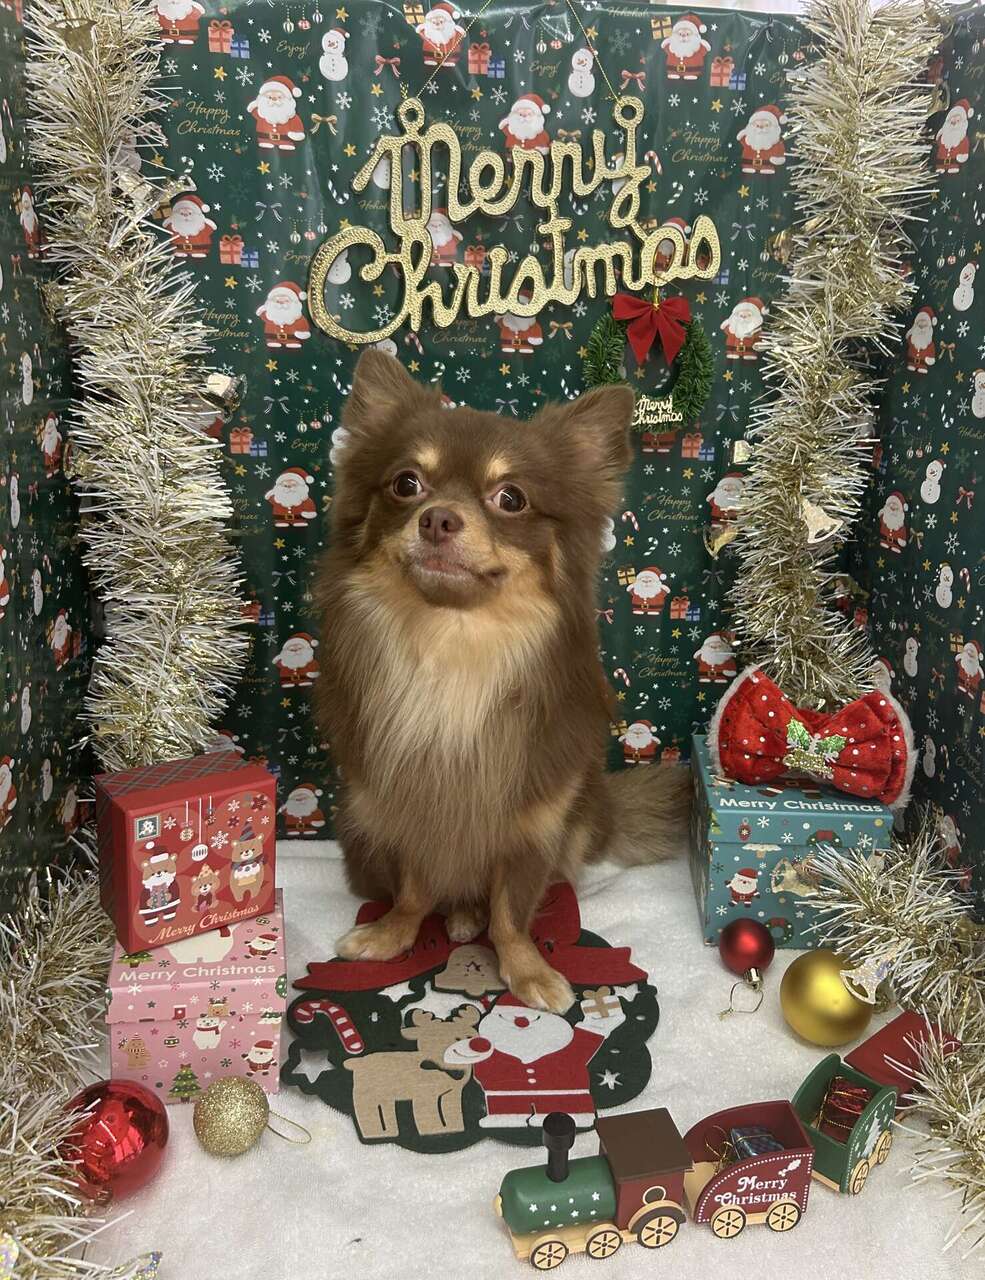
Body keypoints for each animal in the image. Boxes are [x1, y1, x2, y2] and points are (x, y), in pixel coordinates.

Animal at [315, 349, 690, 1012]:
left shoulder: (532, 821)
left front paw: (526, 969)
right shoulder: (410, 802)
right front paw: (392, 934)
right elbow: (414, 889)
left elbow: (512, 910)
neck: (454, 650)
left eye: (510, 498)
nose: (438, 518)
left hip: (581, 818)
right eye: (406, 484)